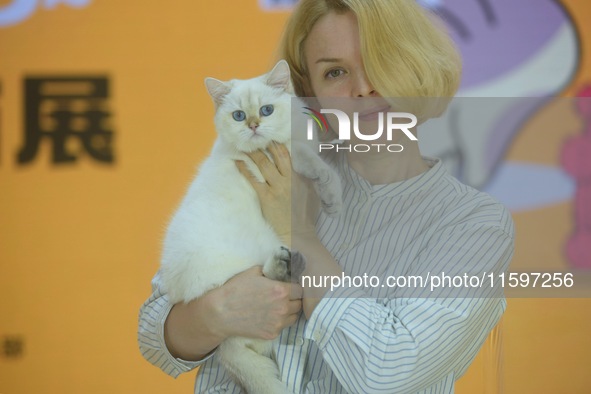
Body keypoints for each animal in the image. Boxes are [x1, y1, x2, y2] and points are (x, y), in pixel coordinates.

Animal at [162, 59, 342, 394]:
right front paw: (332, 196)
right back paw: (285, 265)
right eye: (238, 116)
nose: (254, 125)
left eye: (266, 110)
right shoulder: (286, 155)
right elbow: (317, 165)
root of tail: (223, 349)